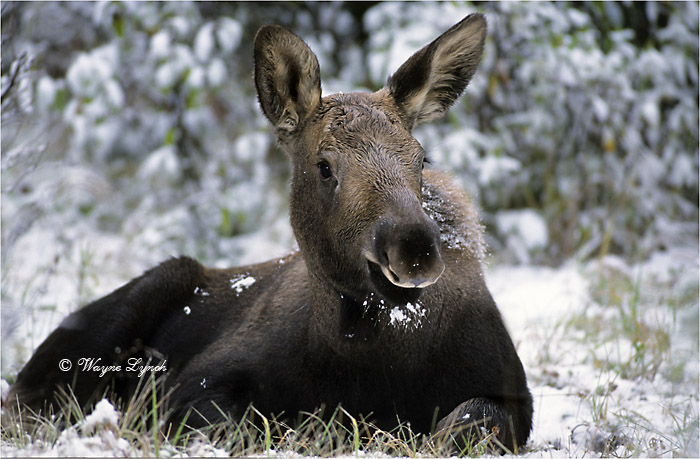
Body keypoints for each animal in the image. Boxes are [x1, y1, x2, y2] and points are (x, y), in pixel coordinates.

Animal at [6, 13, 533, 453]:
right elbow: (254, 424)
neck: (368, 356)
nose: (414, 250)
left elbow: (468, 422)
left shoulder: (511, 395)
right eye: (324, 166)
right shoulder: (192, 386)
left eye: (421, 158)